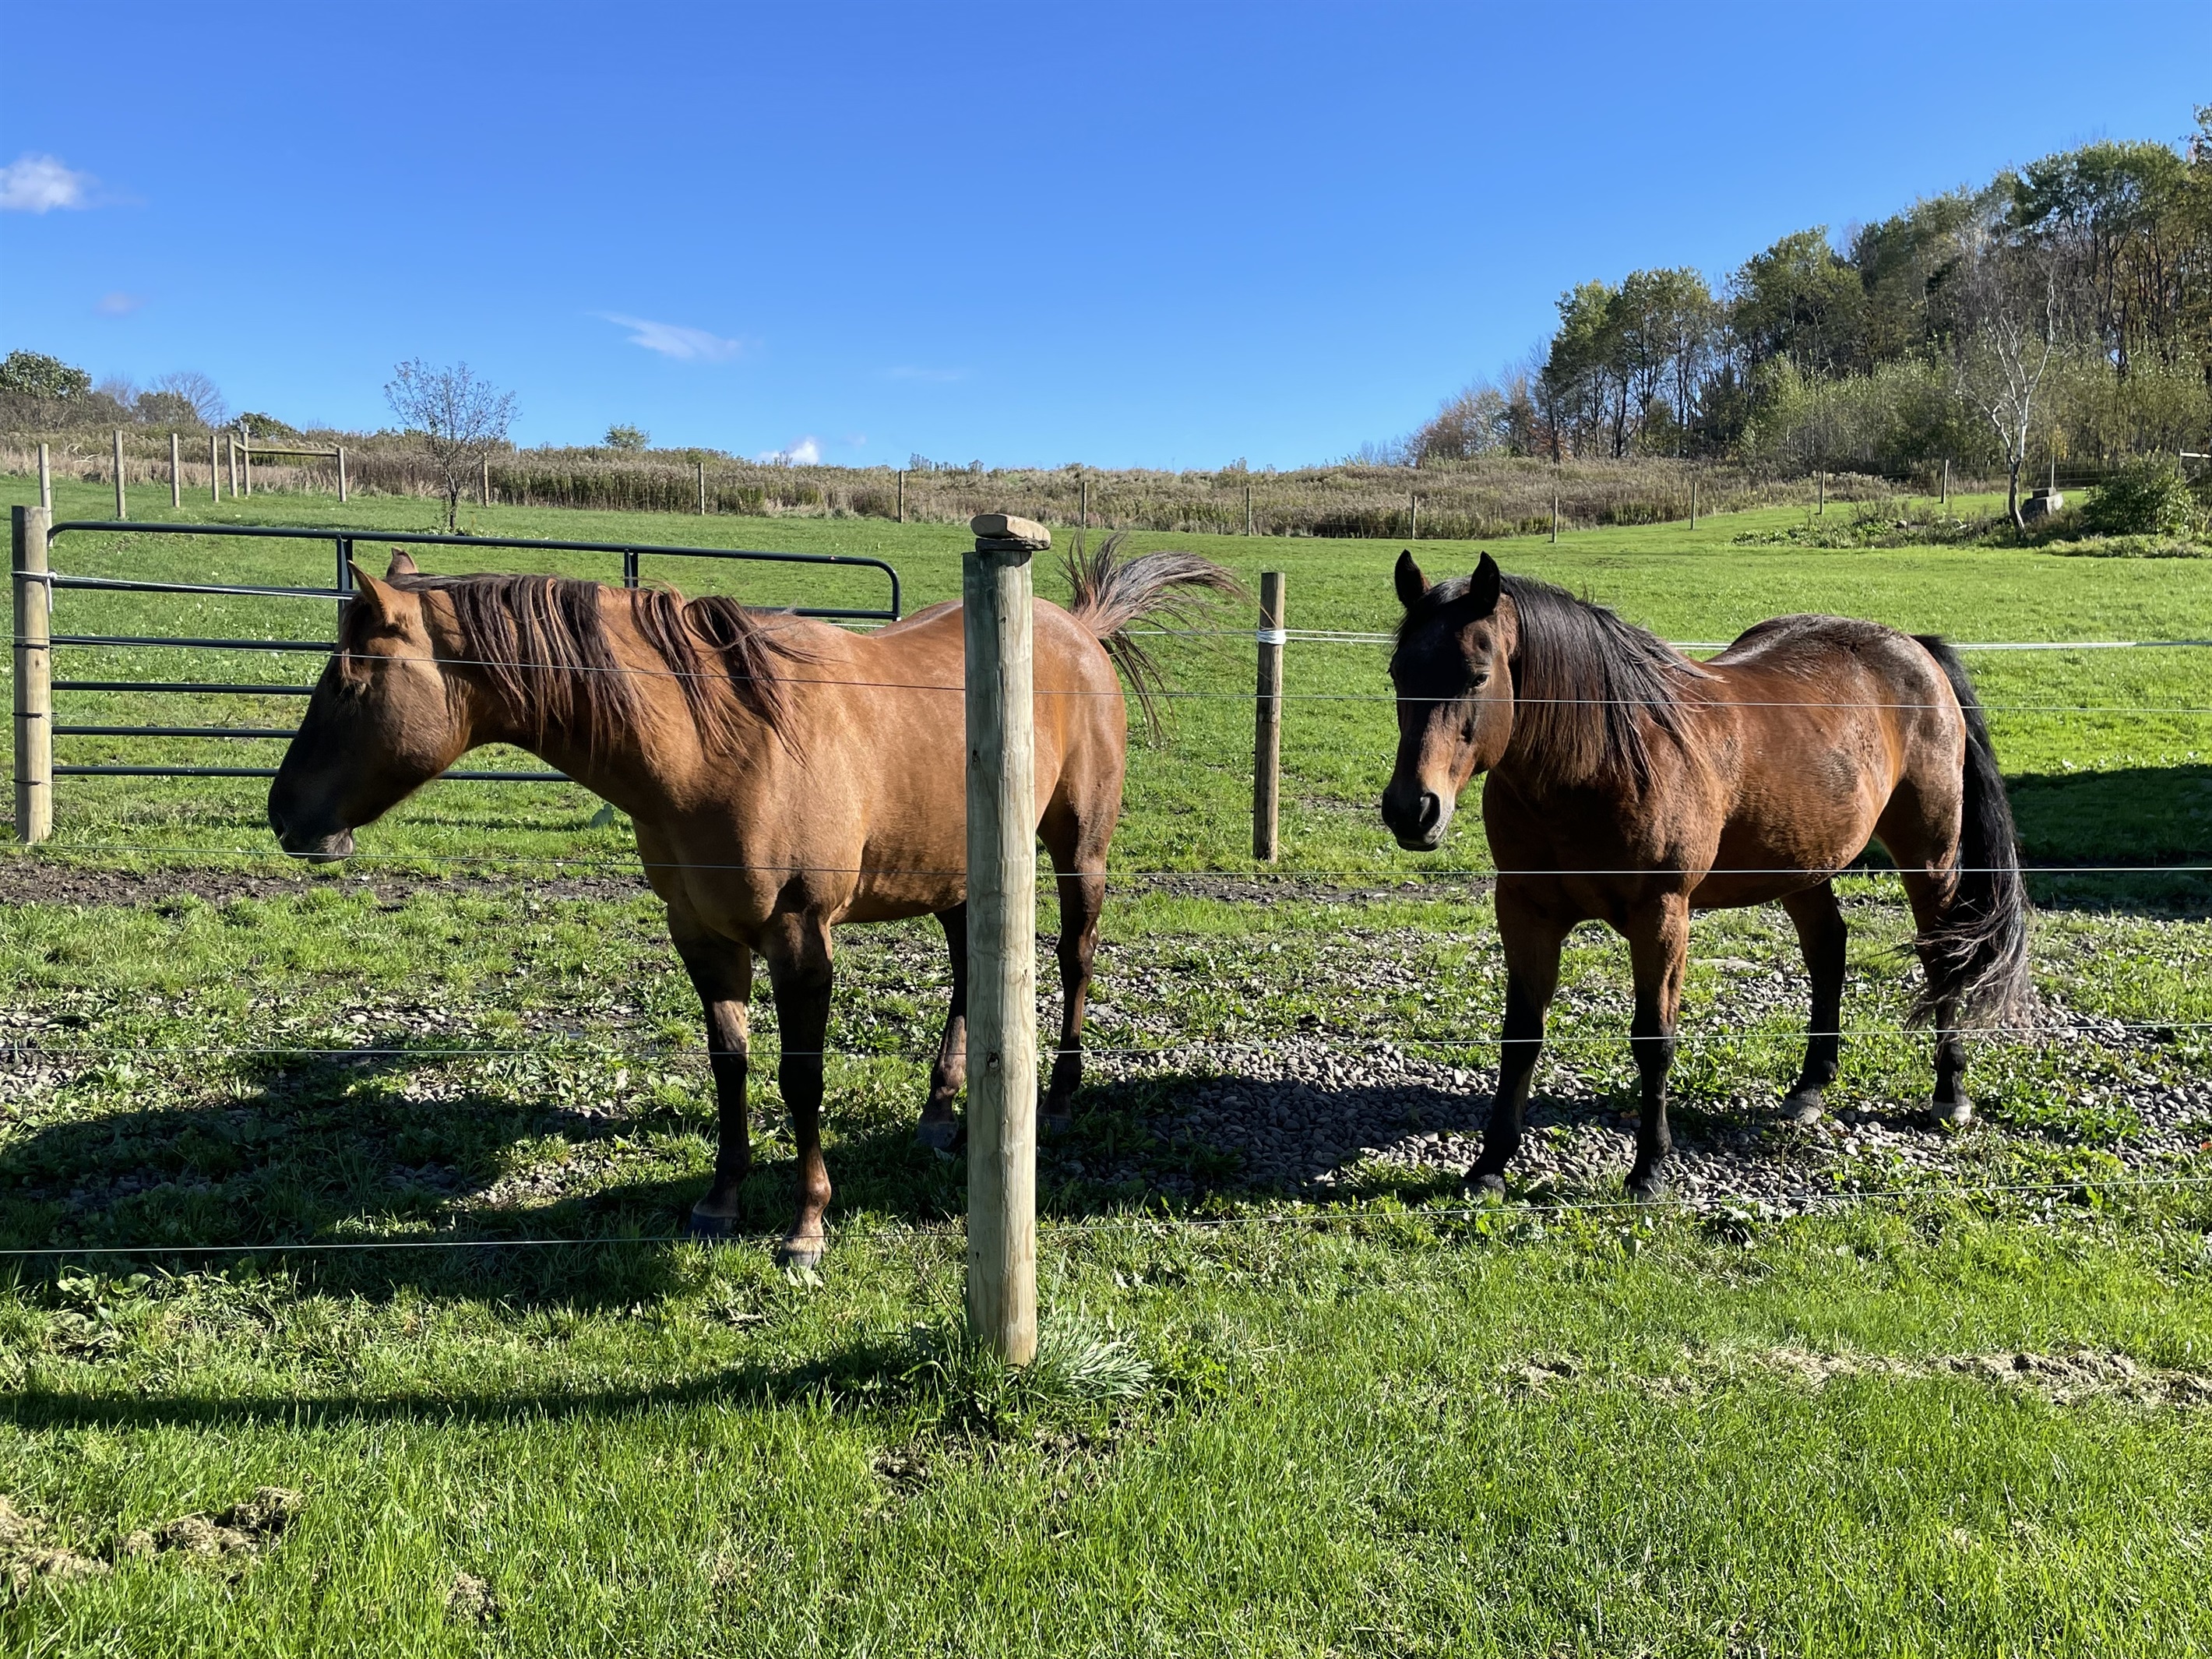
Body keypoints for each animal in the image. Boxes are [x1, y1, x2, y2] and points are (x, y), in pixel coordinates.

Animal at [267, 534, 1238, 1264]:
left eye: (349, 681)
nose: (284, 816)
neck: (721, 746)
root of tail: (1077, 627)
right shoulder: (702, 935)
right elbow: (729, 1067)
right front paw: (721, 1199)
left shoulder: (800, 938)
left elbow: (798, 1077)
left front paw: (805, 1225)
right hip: (956, 871)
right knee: (970, 973)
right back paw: (938, 1114)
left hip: (1080, 848)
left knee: (1075, 956)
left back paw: (1063, 1095)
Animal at [1380, 550, 2032, 1202]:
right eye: (1397, 674)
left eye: (1476, 676)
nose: (1413, 809)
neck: (1600, 764)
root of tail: (1915, 649)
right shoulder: (1524, 911)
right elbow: (1520, 1037)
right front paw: (1489, 1165)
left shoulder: (1662, 916)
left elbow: (1653, 1040)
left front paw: (1649, 1169)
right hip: (1804, 863)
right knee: (1828, 949)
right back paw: (1810, 1089)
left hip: (1928, 854)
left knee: (1941, 957)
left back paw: (1949, 1095)